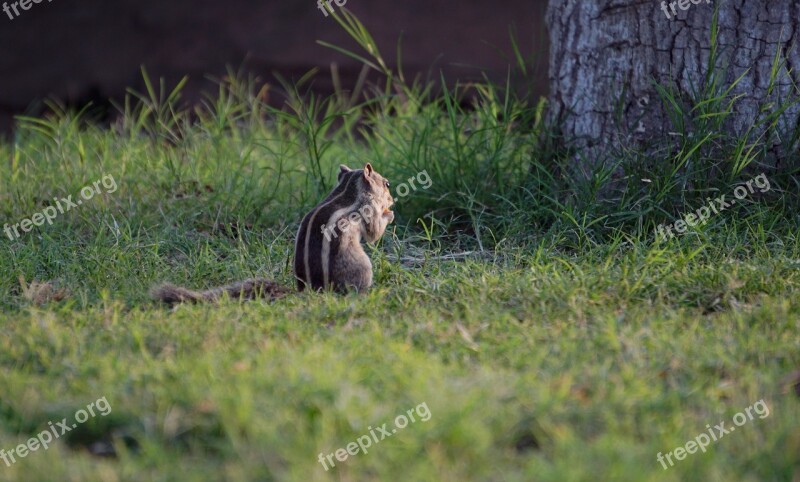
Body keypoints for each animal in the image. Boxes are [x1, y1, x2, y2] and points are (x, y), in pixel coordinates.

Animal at [152, 163, 396, 306]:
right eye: (386, 183)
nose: (392, 200)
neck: (348, 190)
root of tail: (315, 291)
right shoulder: (367, 208)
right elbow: (373, 233)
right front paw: (389, 214)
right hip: (362, 266)